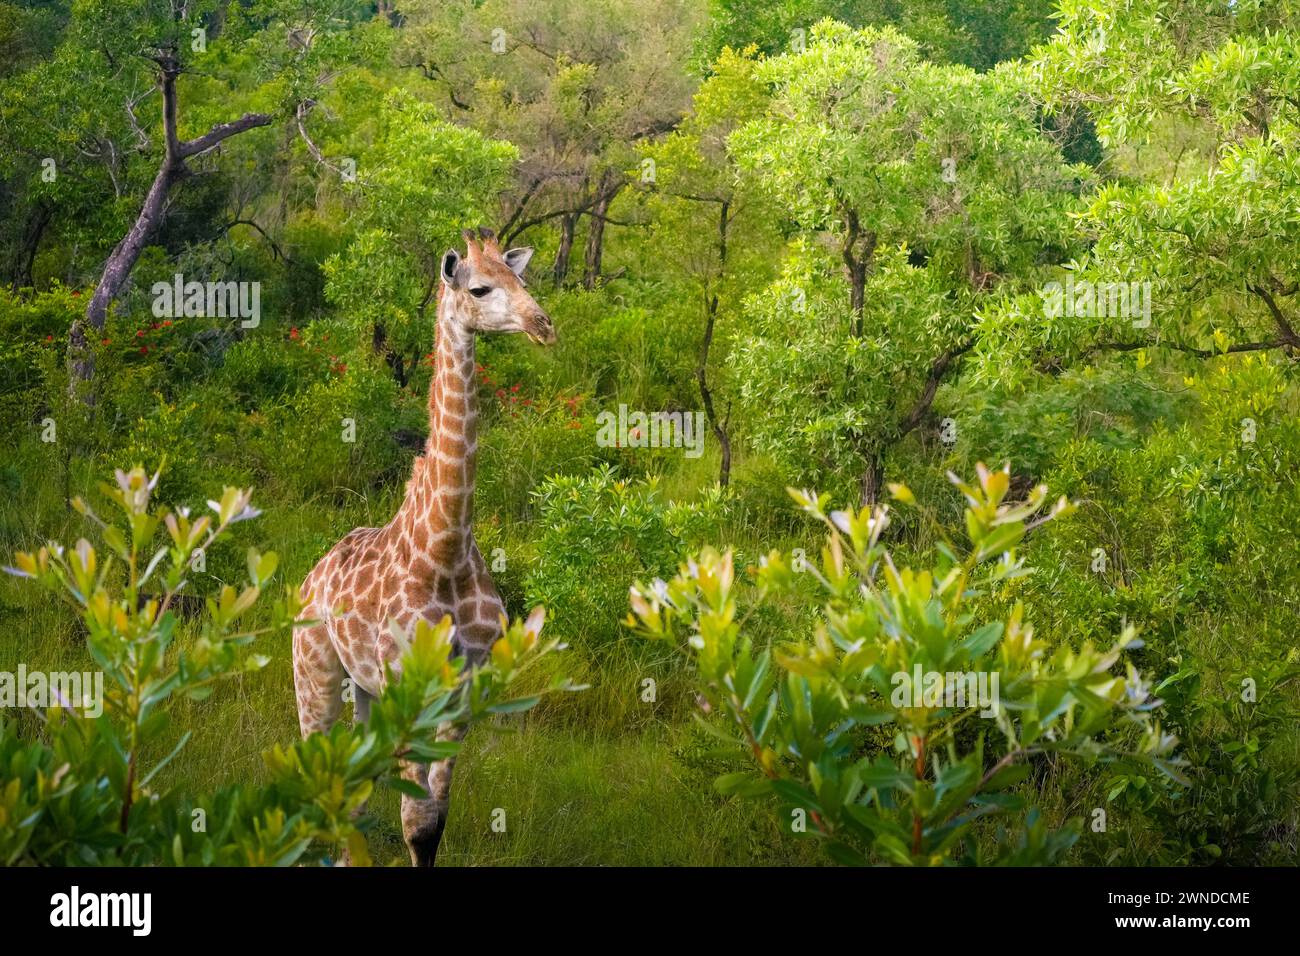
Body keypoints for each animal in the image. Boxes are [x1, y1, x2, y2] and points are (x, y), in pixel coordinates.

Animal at [292, 226, 556, 868]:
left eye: (521, 278)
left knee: (353, 791)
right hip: (315, 674)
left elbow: (432, 822)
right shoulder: (407, 683)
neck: (446, 549)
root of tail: (311, 576)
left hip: (361, 689)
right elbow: (412, 819)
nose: (543, 326)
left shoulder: (464, 688)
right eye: (480, 288)